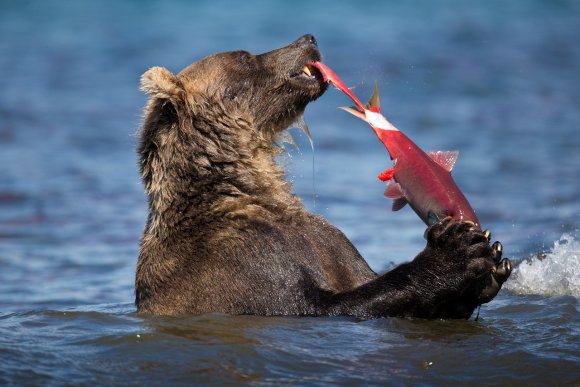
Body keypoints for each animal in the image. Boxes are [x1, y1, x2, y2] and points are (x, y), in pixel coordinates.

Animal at [134, 34, 510, 318]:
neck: (243, 186)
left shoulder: (325, 242)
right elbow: (317, 305)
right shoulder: (237, 265)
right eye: (244, 56)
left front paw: (487, 265)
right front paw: (454, 249)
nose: (308, 39)